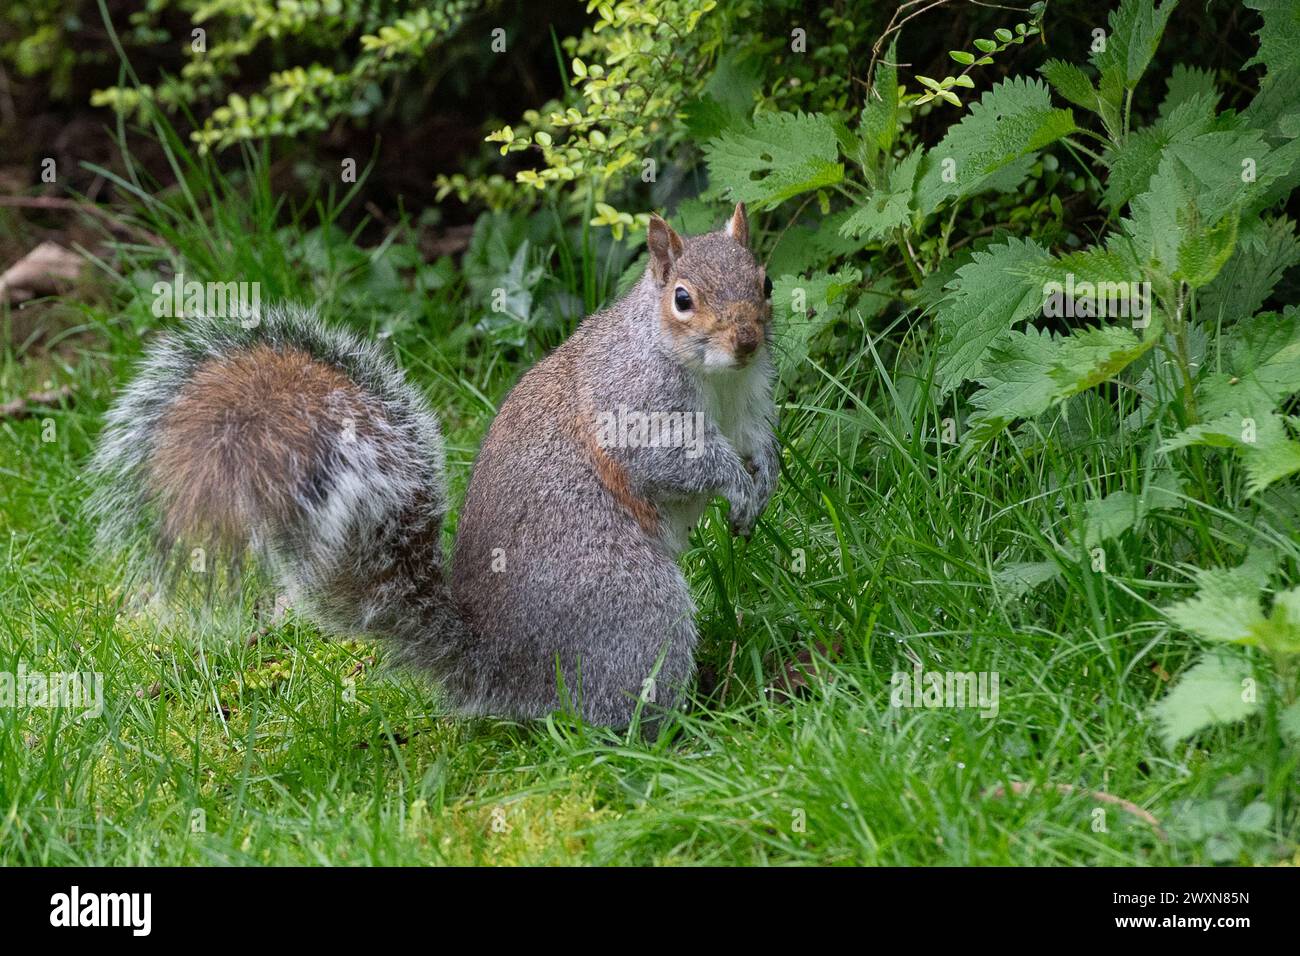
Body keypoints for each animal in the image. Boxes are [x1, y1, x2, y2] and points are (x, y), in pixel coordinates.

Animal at [96, 201, 780, 723]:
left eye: (767, 282)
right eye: (683, 298)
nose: (747, 340)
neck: (714, 376)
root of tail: (508, 670)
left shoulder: (748, 403)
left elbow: (756, 442)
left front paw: (764, 480)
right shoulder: (632, 405)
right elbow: (669, 460)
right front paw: (735, 485)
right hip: (630, 601)